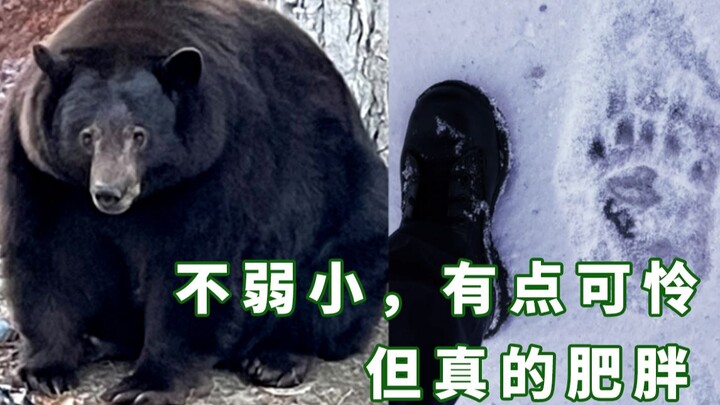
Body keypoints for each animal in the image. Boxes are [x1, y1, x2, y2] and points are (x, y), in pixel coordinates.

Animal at [0, 0, 388, 403]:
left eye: (139, 135)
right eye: (87, 135)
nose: (110, 192)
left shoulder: (219, 162)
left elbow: (196, 261)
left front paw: (145, 384)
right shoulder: (41, 169)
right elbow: (47, 252)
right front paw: (46, 369)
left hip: (349, 205)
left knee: (333, 282)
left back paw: (275, 359)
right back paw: (98, 340)